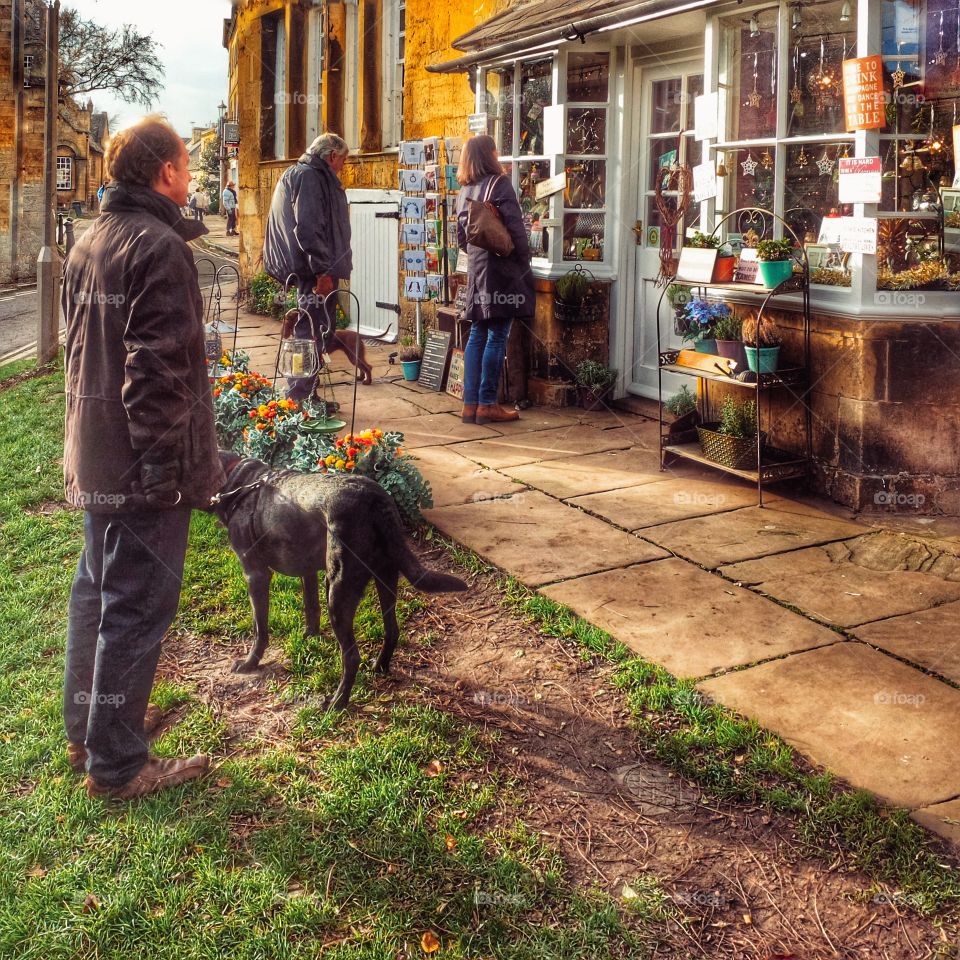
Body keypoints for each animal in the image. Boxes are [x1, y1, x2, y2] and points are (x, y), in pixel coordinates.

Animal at [210, 448, 468, 704]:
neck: (240, 481)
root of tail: (375, 500)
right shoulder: (308, 571)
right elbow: (311, 608)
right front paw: (310, 637)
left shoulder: (256, 575)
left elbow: (260, 628)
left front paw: (250, 663)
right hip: (385, 576)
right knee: (392, 630)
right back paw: (379, 667)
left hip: (337, 590)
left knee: (352, 656)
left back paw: (337, 703)